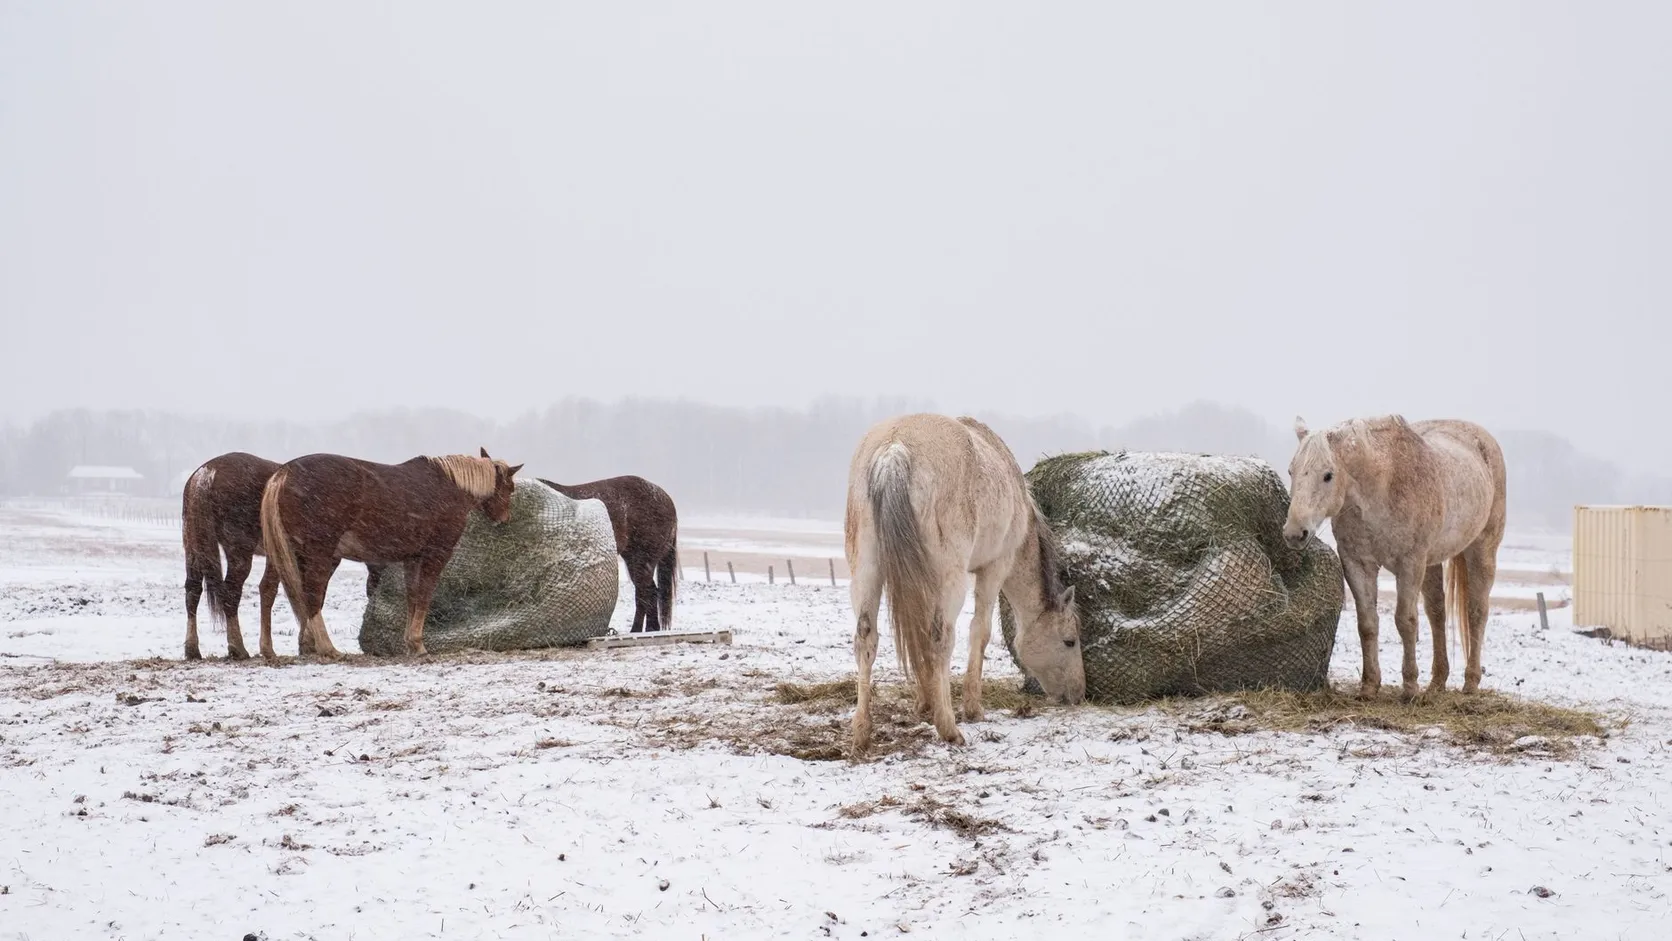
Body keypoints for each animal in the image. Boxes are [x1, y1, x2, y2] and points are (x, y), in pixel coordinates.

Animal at [181, 451, 283, 661]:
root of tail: (206, 474)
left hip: (193, 548)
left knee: (192, 592)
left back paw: (192, 649)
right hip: (239, 552)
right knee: (230, 592)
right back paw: (238, 648)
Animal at [260, 447, 521, 658]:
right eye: (509, 487)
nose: (504, 519)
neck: (450, 486)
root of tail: (285, 472)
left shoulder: (412, 559)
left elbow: (412, 597)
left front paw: (410, 643)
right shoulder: (436, 554)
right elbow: (425, 595)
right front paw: (418, 644)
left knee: (285, 592)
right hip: (320, 553)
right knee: (312, 594)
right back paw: (327, 647)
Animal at [537, 475, 679, 633]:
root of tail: (666, 499)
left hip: (642, 560)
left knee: (645, 593)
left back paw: (637, 630)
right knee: (649, 592)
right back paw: (650, 629)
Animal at [845, 413, 1085, 752]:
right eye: (1069, 641)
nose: (1078, 695)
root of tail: (894, 450)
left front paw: (924, 702)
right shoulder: (994, 569)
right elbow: (979, 632)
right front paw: (972, 707)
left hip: (867, 571)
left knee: (866, 638)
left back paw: (862, 732)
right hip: (951, 580)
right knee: (941, 637)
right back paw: (949, 728)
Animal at [1284, 415, 1507, 701]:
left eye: (1327, 475)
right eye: (1291, 471)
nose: (1294, 533)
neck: (1382, 486)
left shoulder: (1410, 565)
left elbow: (1405, 621)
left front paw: (1410, 688)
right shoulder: (1357, 564)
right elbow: (1367, 623)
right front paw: (1369, 686)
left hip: (1482, 549)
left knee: (1476, 612)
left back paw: (1470, 683)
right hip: (1432, 563)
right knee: (1437, 613)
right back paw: (1437, 682)